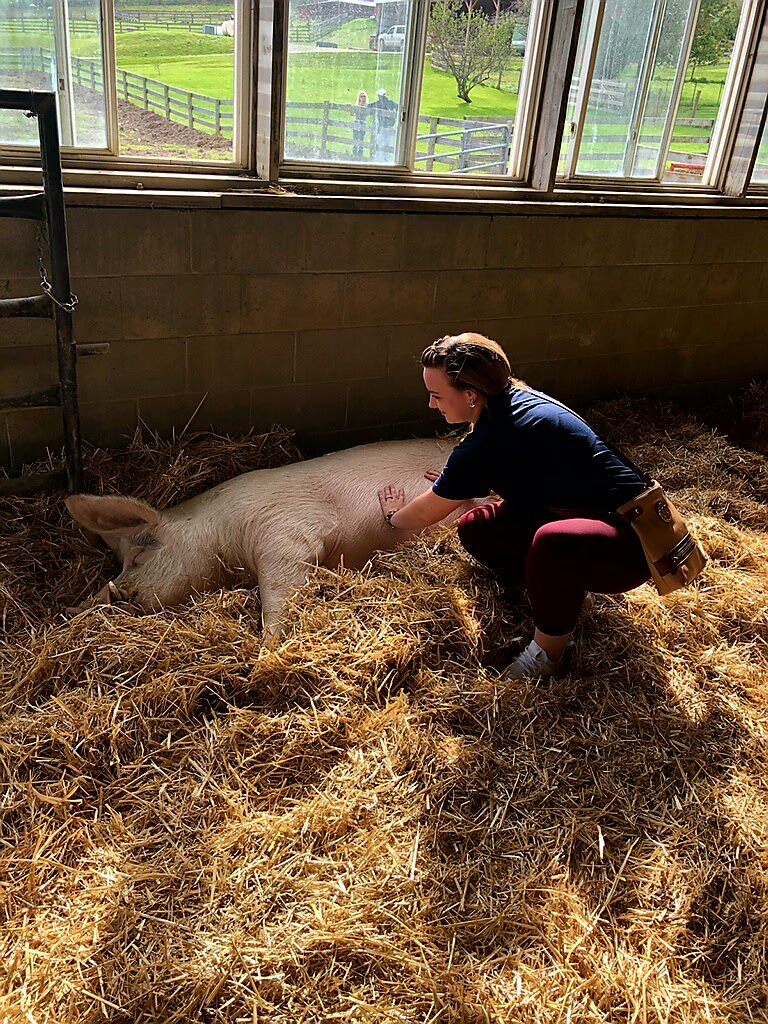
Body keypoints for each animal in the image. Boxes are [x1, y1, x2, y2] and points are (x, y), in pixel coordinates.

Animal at [66, 437, 471, 636]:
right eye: (118, 565)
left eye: (137, 557)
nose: (81, 607)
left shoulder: (286, 535)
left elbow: (277, 594)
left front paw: (267, 650)